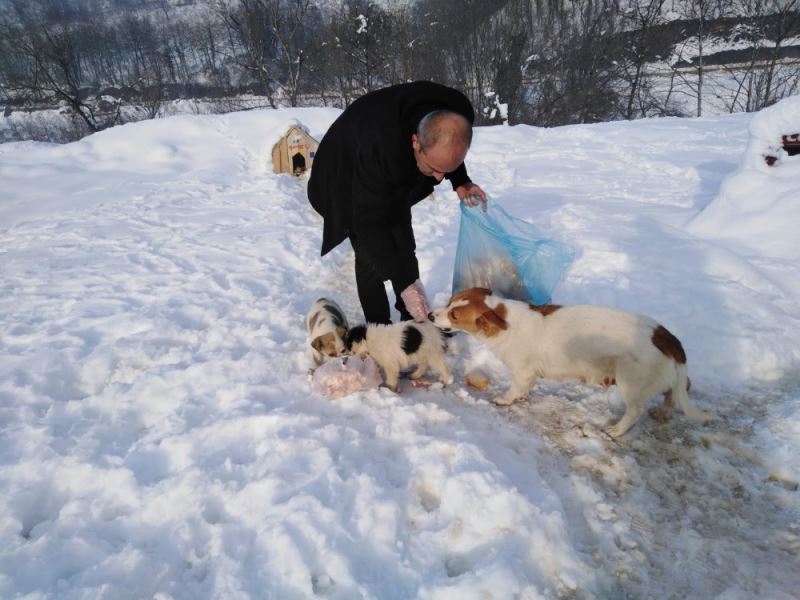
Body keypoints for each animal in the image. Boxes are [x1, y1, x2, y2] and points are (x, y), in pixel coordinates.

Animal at [434, 286, 716, 436]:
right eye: (449, 302)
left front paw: (505, 399)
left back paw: (617, 430)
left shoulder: (523, 372)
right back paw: (663, 412)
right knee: (674, 392)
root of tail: (666, 337)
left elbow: (515, 388)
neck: (503, 320)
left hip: (629, 380)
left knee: (636, 410)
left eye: (454, 315)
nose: (430, 315)